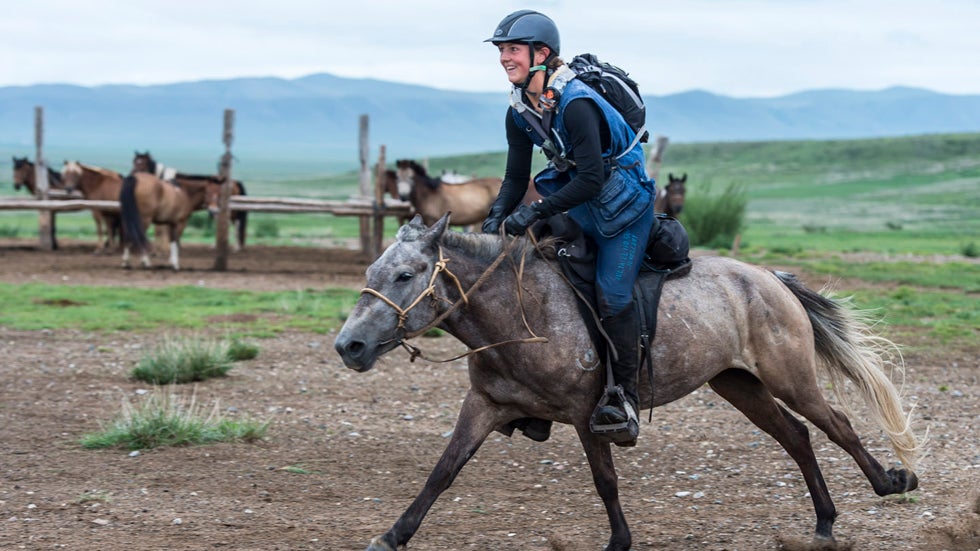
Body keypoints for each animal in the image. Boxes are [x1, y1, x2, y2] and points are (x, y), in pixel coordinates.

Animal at [334, 214, 922, 551]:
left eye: (405, 274)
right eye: (371, 271)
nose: (350, 346)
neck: (521, 313)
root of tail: (768, 278)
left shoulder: (587, 414)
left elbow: (605, 481)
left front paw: (619, 541)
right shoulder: (482, 405)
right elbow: (442, 472)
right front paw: (392, 536)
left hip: (789, 378)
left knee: (836, 424)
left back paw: (891, 482)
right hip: (739, 385)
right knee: (797, 436)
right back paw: (824, 523)